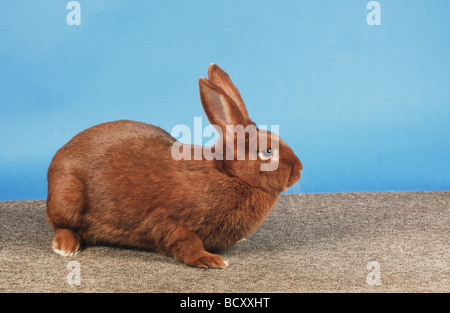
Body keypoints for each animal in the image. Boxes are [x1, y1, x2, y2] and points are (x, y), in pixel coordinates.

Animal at [46, 63, 302, 268]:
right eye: (267, 151)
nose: (299, 169)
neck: (230, 175)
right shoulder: (167, 221)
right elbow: (185, 240)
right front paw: (211, 260)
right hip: (68, 196)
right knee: (61, 225)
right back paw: (65, 247)